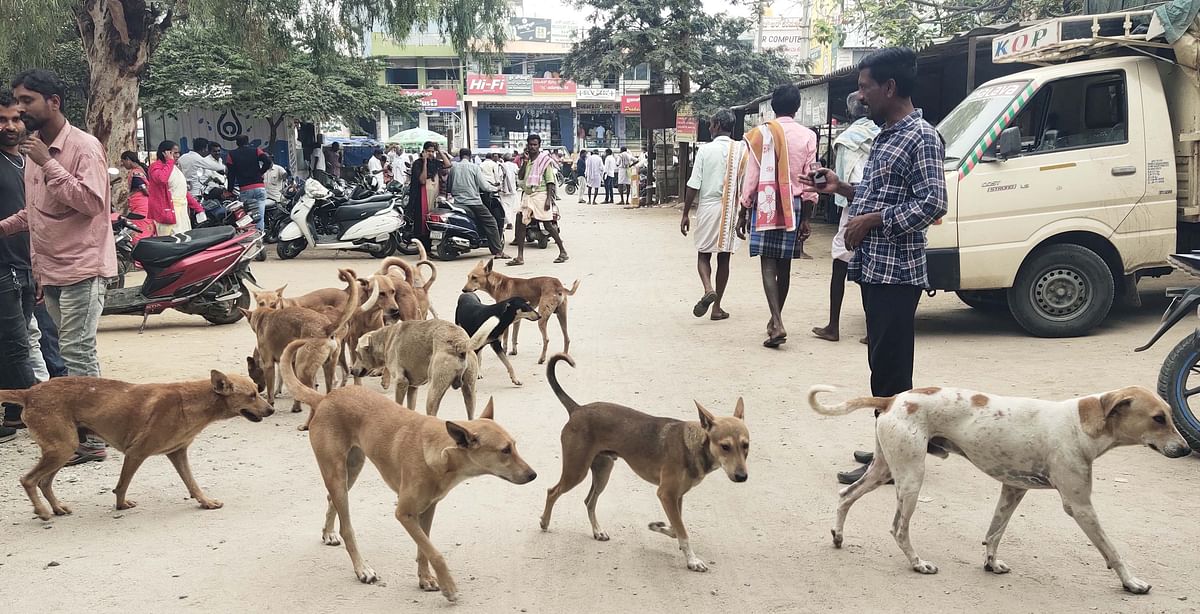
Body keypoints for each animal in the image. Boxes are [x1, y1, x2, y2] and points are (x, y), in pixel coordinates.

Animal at [5, 371, 272, 520]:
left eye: (258, 391)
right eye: (251, 395)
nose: (270, 410)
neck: (194, 400)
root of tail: (29, 393)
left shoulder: (178, 453)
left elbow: (192, 483)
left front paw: (205, 501)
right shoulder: (136, 453)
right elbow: (122, 485)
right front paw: (120, 505)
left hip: (63, 449)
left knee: (44, 482)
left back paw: (57, 508)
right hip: (61, 448)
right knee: (29, 480)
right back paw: (42, 512)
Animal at [242, 268, 355, 412]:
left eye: (252, 374)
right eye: (261, 303)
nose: (259, 389)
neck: (264, 315)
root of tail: (326, 327)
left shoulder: (269, 365)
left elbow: (274, 387)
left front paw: (272, 400)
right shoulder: (289, 361)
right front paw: (295, 404)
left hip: (304, 368)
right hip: (328, 364)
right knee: (336, 380)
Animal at [279, 340, 535, 604]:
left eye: (514, 446)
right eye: (505, 451)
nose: (533, 475)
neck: (440, 452)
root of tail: (325, 398)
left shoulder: (428, 509)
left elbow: (424, 549)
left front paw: (426, 578)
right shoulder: (403, 513)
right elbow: (435, 552)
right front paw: (449, 586)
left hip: (351, 468)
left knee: (331, 499)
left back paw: (328, 533)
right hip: (337, 474)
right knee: (347, 527)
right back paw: (362, 569)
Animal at [537, 352, 744, 573]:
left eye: (746, 445)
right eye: (725, 446)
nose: (742, 476)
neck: (694, 443)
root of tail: (578, 409)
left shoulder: (677, 496)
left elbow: (676, 528)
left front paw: (659, 527)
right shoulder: (666, 494)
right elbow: (681, 531)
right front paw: (692, 560)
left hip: (603, 472)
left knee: (589, 501)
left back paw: (597, 531)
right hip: (577, 471)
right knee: (553, 491)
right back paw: (545, 522)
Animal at [806, 383, 1190, 594]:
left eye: (1171, 415)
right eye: (1158, 418)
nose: (1187, 449)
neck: (1083, 422)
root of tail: (893, 399)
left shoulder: (1012, 489)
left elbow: (994, 533)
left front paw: (991, 563)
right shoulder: (1079, 505)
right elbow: (1112, 551)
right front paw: (1132, 583)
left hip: (884, 470)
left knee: (845, 496)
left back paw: (838, 536)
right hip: (912, 479)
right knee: (898, 528)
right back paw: (918, 564)